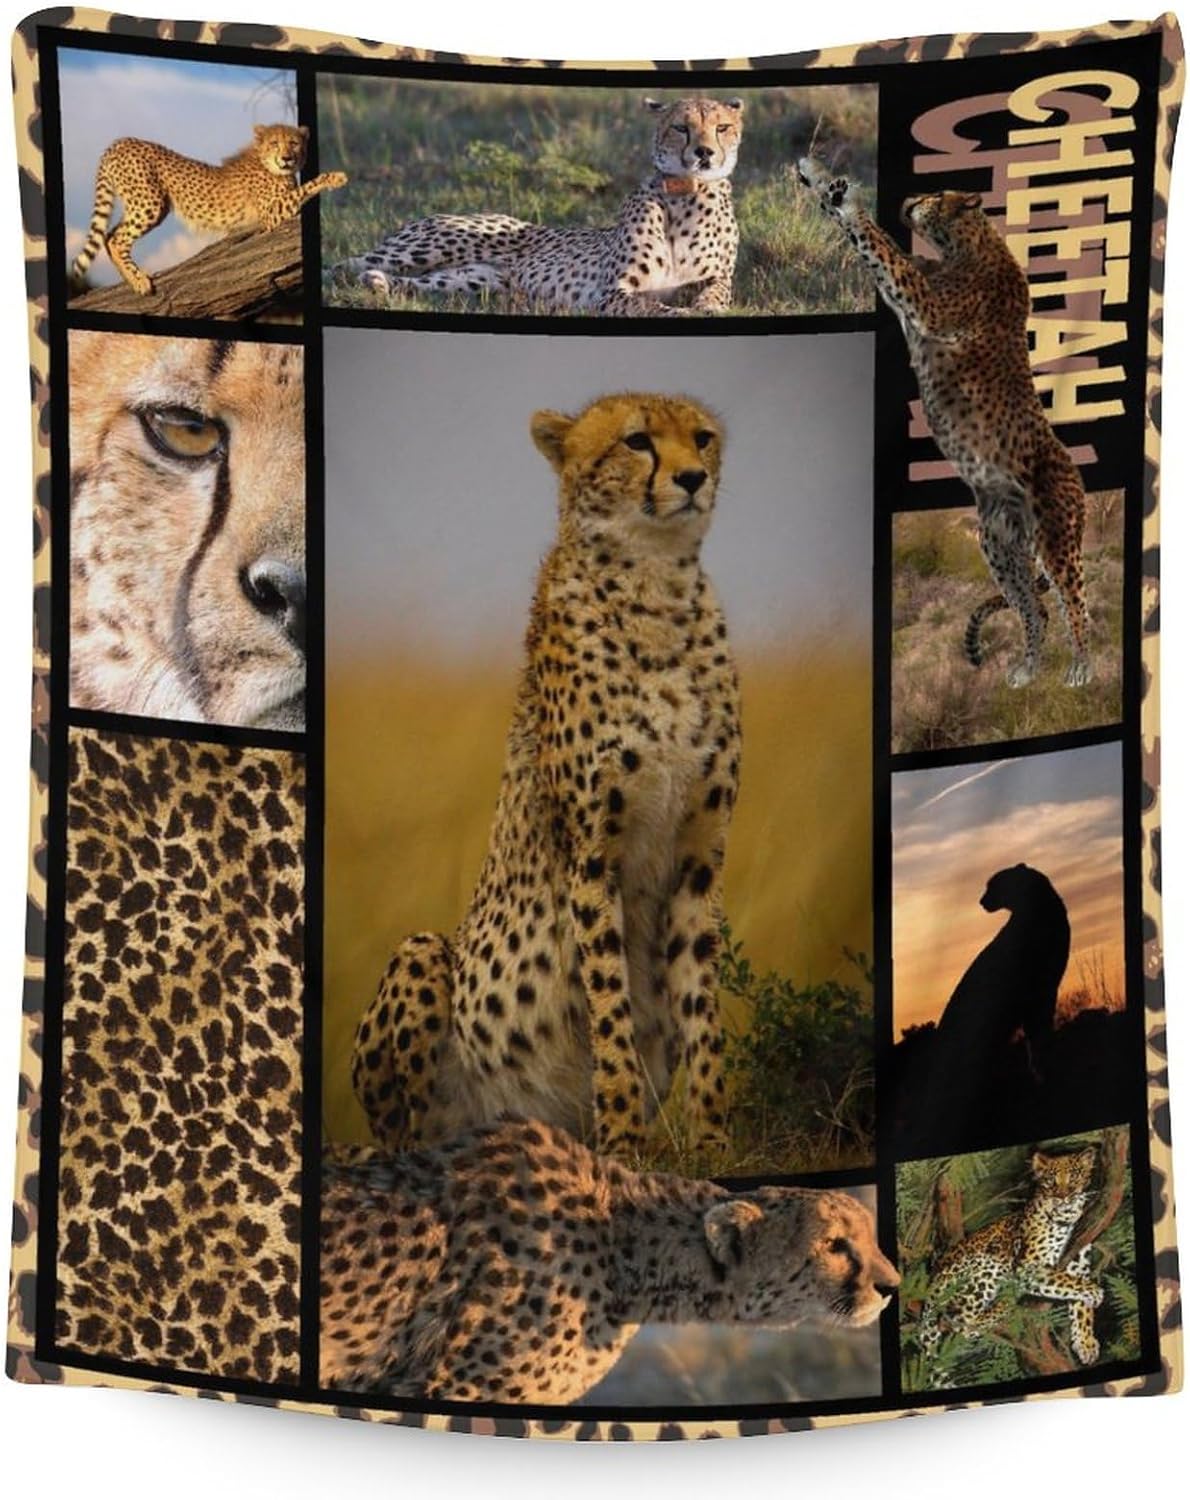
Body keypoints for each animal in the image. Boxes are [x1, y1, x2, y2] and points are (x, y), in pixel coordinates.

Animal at [70, 124, 348, 296]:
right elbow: (307, 189)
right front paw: (336, 178)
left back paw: (129, 278)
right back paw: (139, 280)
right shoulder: (272, 214)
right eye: (274, 143)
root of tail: (120, 142)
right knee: (116, 238)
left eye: (293, 143)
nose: (287, 158)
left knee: (109, 235)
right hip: (151, 203)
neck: (267, 163)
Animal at [330, 96, 743, 317]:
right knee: (341, 266)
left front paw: (705, 307)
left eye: (721, 127)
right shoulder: (614, 293)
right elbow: (651, 308)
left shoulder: (716, 278)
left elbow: (716, 292)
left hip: (475, 280)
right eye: (681, 128)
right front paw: (684, 312)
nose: (704, 153)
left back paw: (381, 285)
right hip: (438, 246)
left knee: (420, 284)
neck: (684, 195)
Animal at [352, 393, 741, 1161]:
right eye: (637, 441)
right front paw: (621, 1140)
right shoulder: (592, 858)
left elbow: (700, 1010)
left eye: (703, 438)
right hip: (422, 958)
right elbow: (612, 1011)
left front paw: (715, 1142)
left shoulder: (698, 859)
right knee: (408, 1131)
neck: (658, 587)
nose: (691, 479)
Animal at [798, 156, 1091, 689]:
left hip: (1055, 539)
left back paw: (1082, 669)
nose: (912, 197)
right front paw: (818, 179)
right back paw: (1025, 671)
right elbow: (876, 247)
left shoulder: (925, 304)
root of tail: (1077, 476)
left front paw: (846, 197)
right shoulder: (907, 295)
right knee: (1034, 609)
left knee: (1074, 604)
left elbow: (879, 243)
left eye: (937, 194)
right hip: (999, 546)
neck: (967, 243)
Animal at [913, 1146, 1104, 1391]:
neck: (1066, 1218)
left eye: (1074, 1177)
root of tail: (931, 1286)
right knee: (960, 1320)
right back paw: (1000, 1308)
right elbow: (1071, 1284)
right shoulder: (1028, 1267)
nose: (1062, 1197)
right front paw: (1096, 1293)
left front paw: (1086, 1344)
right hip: (984, 1267)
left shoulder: (1079, 1265)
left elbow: (1081, 1307)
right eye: (1050, 1180)